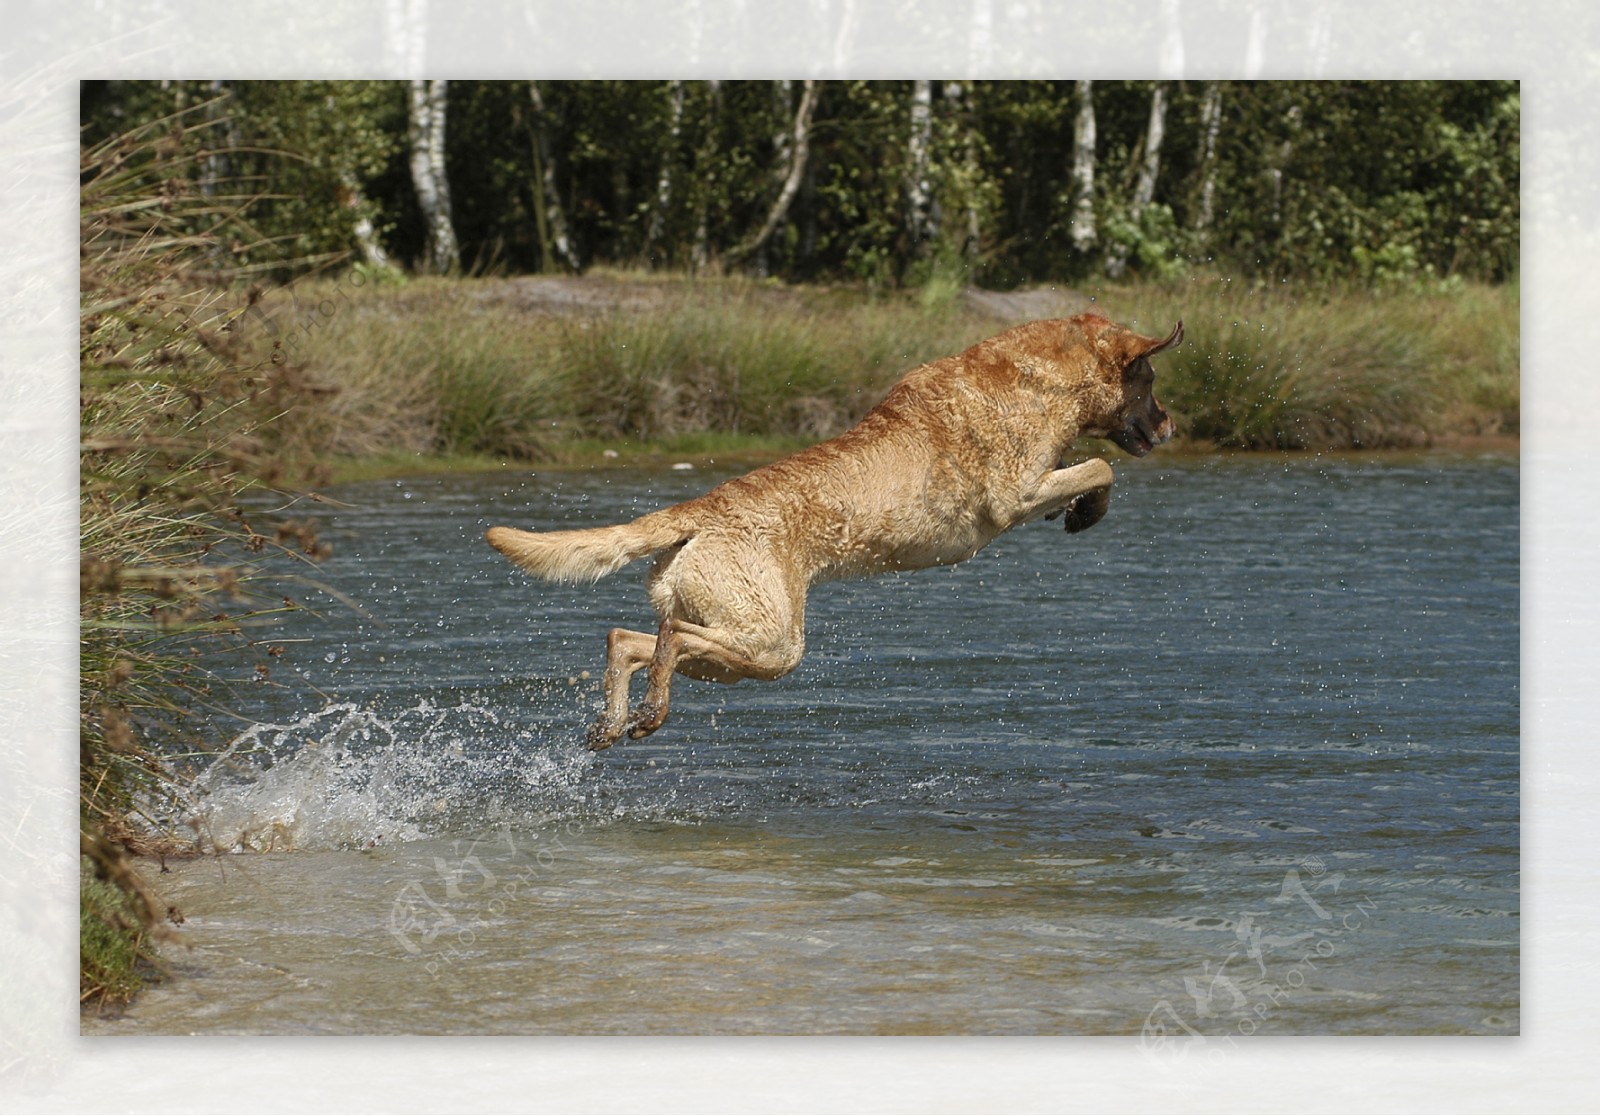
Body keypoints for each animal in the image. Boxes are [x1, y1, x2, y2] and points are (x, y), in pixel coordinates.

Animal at [486, 313, 1177, 748]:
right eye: (1149, 379)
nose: (1170, 425)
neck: (1041, 379)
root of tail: (701, 510)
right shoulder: (1016, 494)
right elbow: (1100, 465)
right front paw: (1087, 509)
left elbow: (1091, 467)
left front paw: (1079, 509)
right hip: (770, 640)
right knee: (668, 638)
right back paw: (649, 714)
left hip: (733, 638)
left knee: (630, 639)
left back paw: (614, 723)